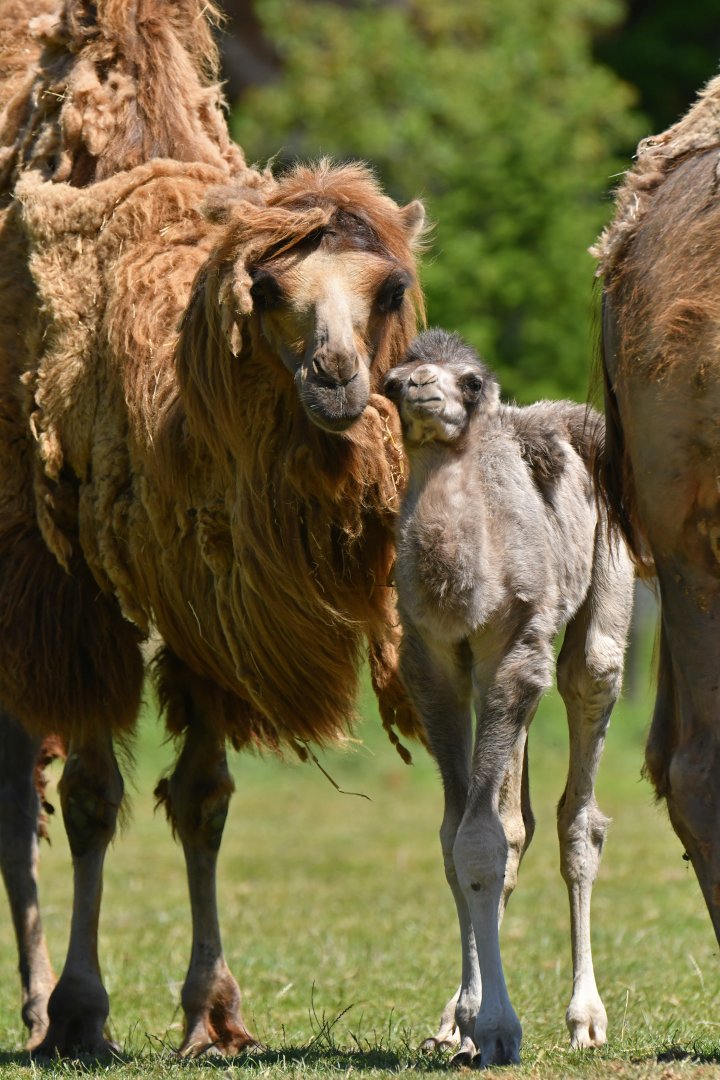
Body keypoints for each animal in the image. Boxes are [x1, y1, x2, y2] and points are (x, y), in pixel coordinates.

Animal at [0, 0, 426, 1056]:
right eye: (266, 291)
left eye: (390, 289)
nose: (334, 378)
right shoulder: (73, 586)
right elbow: (91, 799)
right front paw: (80, 1013)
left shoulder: (201, 587)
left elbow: (203, 801)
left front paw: (213, 1011)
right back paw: (37, 1003)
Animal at [383, 329, 634, 1067]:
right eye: (395, 380)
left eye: (469, 383)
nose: (418, 390)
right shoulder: (433, 663)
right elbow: (459, 838)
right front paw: (465, 1020)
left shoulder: (517, 646)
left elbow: (481, 837)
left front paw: (494, 1027)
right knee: (514, 819)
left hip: (603, 605)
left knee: (579, 806)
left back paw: (586, 1018)